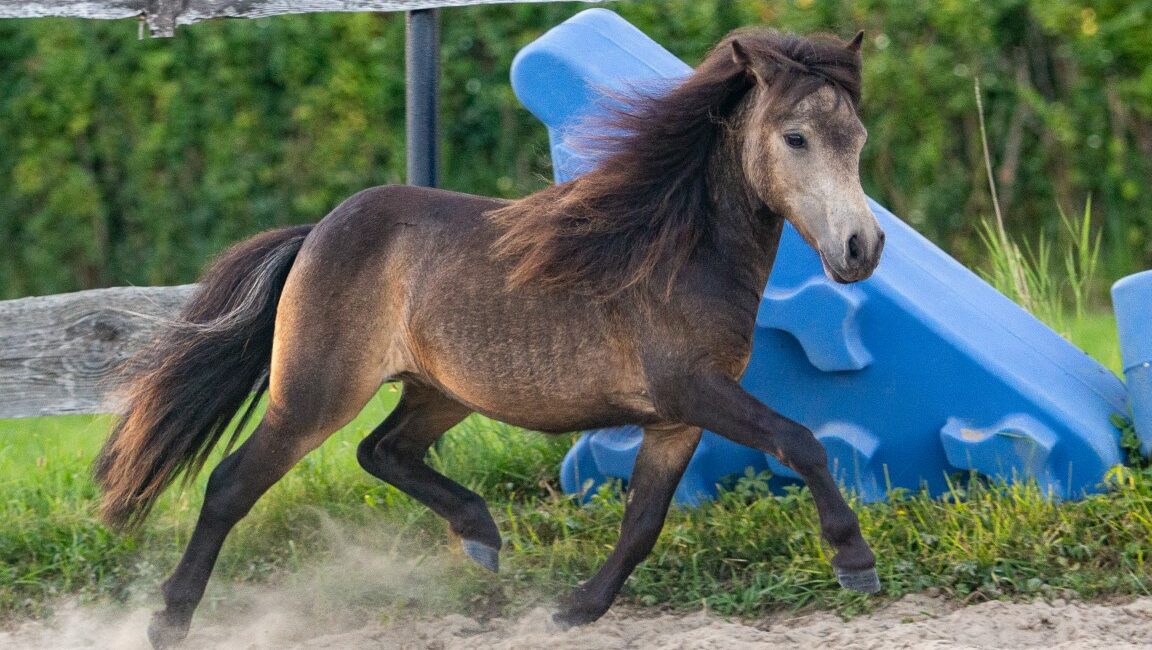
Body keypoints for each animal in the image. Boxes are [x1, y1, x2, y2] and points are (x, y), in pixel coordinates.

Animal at [99, 26, 884, 645]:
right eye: (795, 137)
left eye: (858, 139)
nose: (861, 248)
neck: (679, 251)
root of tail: (316, 233)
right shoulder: (694, 389)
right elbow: (801, 442)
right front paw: (854, 560)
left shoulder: (675, 420)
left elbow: (642, 522)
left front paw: (574, 609)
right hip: (314, 396)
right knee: (233, 484)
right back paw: (169, 620)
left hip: (440, 392)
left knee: (381, 451)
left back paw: (479, 535)